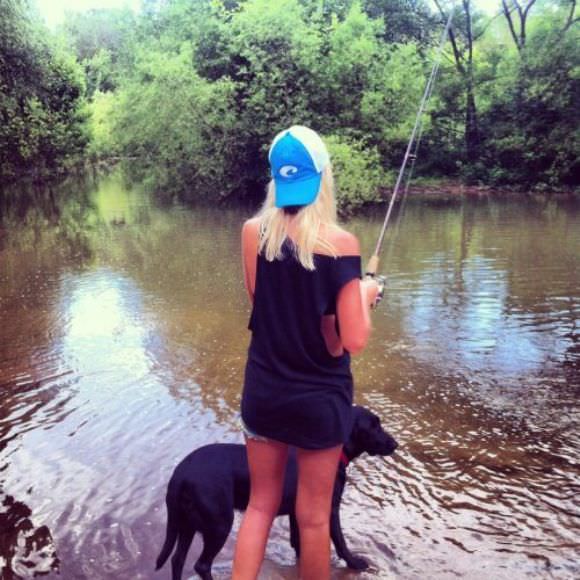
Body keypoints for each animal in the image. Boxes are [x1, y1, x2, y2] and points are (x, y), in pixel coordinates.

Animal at [156, 408, 396, 580]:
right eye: (373, 426)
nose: (395, 444)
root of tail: (180, 473)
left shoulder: (296, 513)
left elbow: (299, 544)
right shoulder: (328, 509)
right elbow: (340, 541)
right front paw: (355, 563)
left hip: (187, 523)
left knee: (177, 559)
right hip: (218, 524)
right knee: (201, 565)